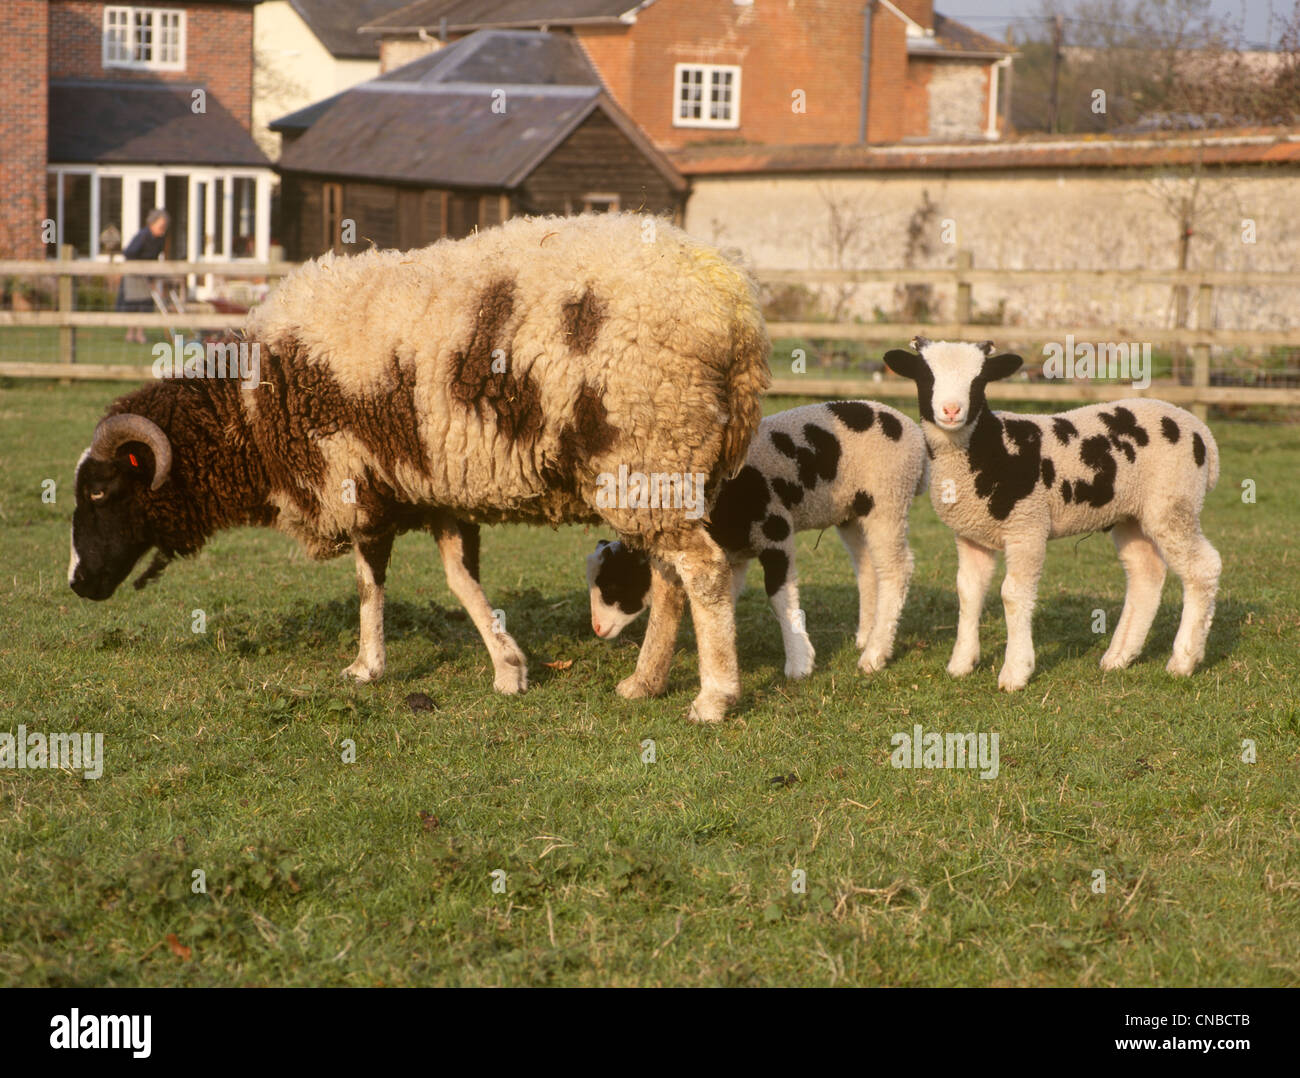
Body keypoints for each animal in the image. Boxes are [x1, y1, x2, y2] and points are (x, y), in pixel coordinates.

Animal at [68, 211, 769, 723]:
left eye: (101, 493)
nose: (77, 584)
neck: (250, 410)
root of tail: (734, 308)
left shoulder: (352, 477)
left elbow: (368, 582)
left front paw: (366, 668)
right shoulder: (435, 488)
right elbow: (460, 581)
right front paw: (508, 668)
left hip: (646, 445)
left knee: (703, 572)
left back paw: (712, 699)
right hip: (661, 468)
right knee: (670, 576)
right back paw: (644, 683)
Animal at [585, 400, 930, 676]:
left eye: (614, 584)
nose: (597, 629)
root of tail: (911, 430)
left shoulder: (775, 532)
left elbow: (779, 597)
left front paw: (799, 663)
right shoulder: (734, 552)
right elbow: (725, 598)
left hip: (888, 499)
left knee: (896, 570)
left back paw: (875, 654)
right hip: (853, 514)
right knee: (868, 569)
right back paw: (865, 637)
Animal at [883, 335, 1216, 691]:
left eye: (979, 380)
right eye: (925, 376)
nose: (951, 410)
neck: (990, 446)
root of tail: (1201, 432)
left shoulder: (1027, 527)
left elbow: (1012, 595)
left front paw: (1015, 672)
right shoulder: (971, 534)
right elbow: (968, 593)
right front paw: (961, 663)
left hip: (1172, 503)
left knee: (1202, 569)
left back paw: (1183, 660)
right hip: (1133, 514)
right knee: (1146, 574)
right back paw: (1119, 657)